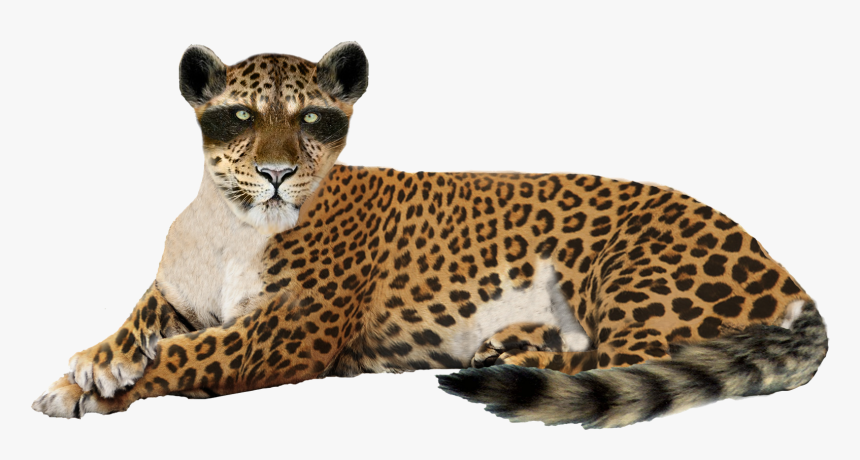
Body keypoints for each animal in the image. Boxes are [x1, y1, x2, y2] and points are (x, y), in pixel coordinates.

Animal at [32, 42, 827, 428]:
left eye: (313, 118)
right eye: (240, 117)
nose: (278, 173)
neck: (230, 224)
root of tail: (788, 277)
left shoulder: (285, 334)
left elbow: (187, 354)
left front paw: (90, 389)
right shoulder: (179, 296)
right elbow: (140, 320)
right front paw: (93, 363)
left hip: (629, 272)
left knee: (618, 363)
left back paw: (515, 354)